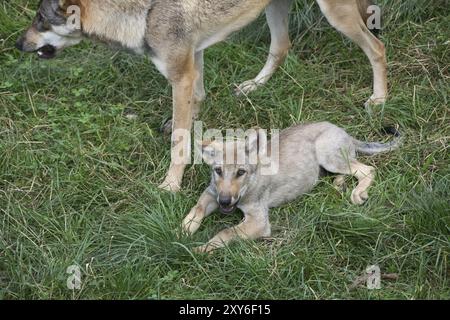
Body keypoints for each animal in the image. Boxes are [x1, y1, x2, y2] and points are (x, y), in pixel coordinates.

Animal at [15, 0, 388, 191]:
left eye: (39, 19)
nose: (18, 44)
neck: (141, 14)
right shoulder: (193, 63)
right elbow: (195, 108)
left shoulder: (180, 76)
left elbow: (179, 143)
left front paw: (170, 185)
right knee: (281, 48)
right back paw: (253, 87)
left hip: (337, 16)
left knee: (377, 47)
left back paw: (379, 100)